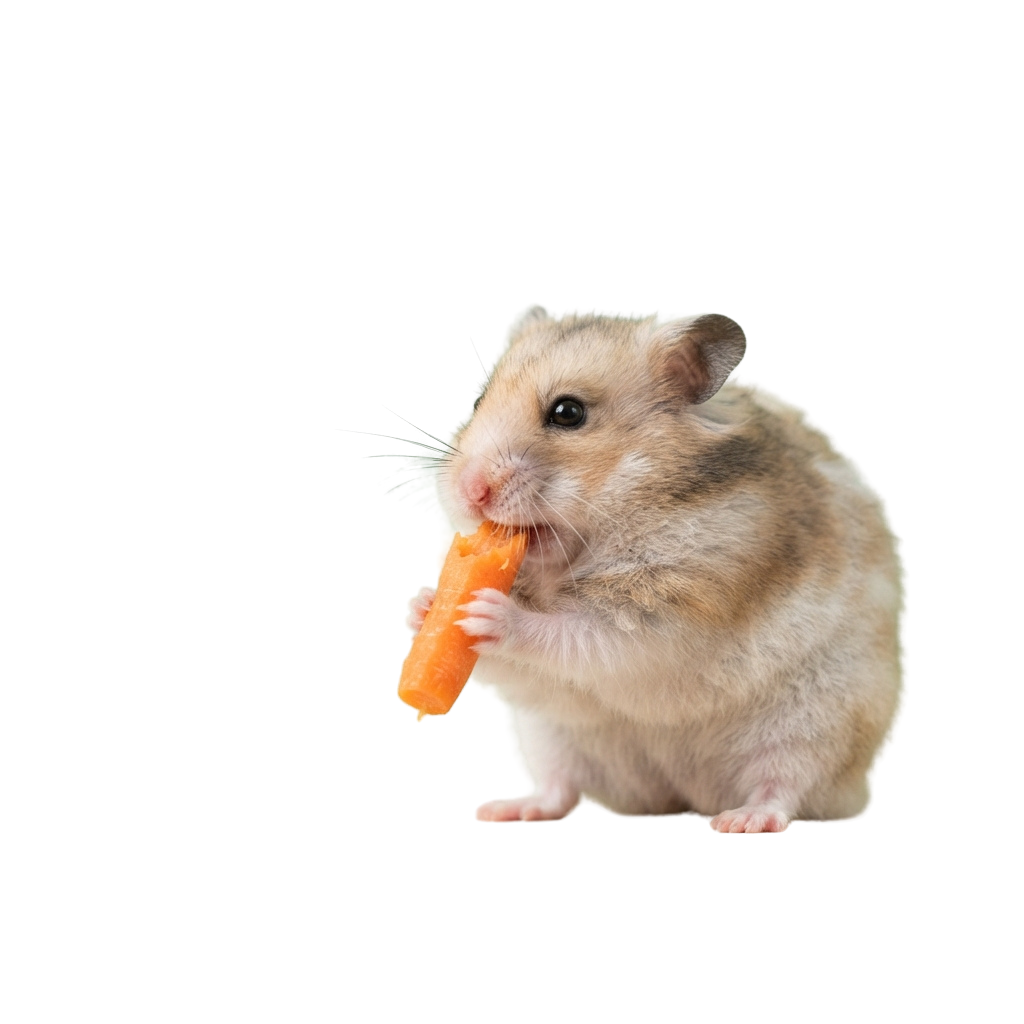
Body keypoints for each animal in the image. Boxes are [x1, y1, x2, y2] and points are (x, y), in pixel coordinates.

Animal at [398, 305, 908, 830]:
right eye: (479, 400)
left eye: (568, 413)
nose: (470, 491)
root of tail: (688, 796)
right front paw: (424, 603)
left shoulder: (674, 606)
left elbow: (582, 634)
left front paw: (485, 613)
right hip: (548, 736)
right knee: (558, 788)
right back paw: (503, 810)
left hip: (816, 725)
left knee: (787, 787)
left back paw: (742, 819)